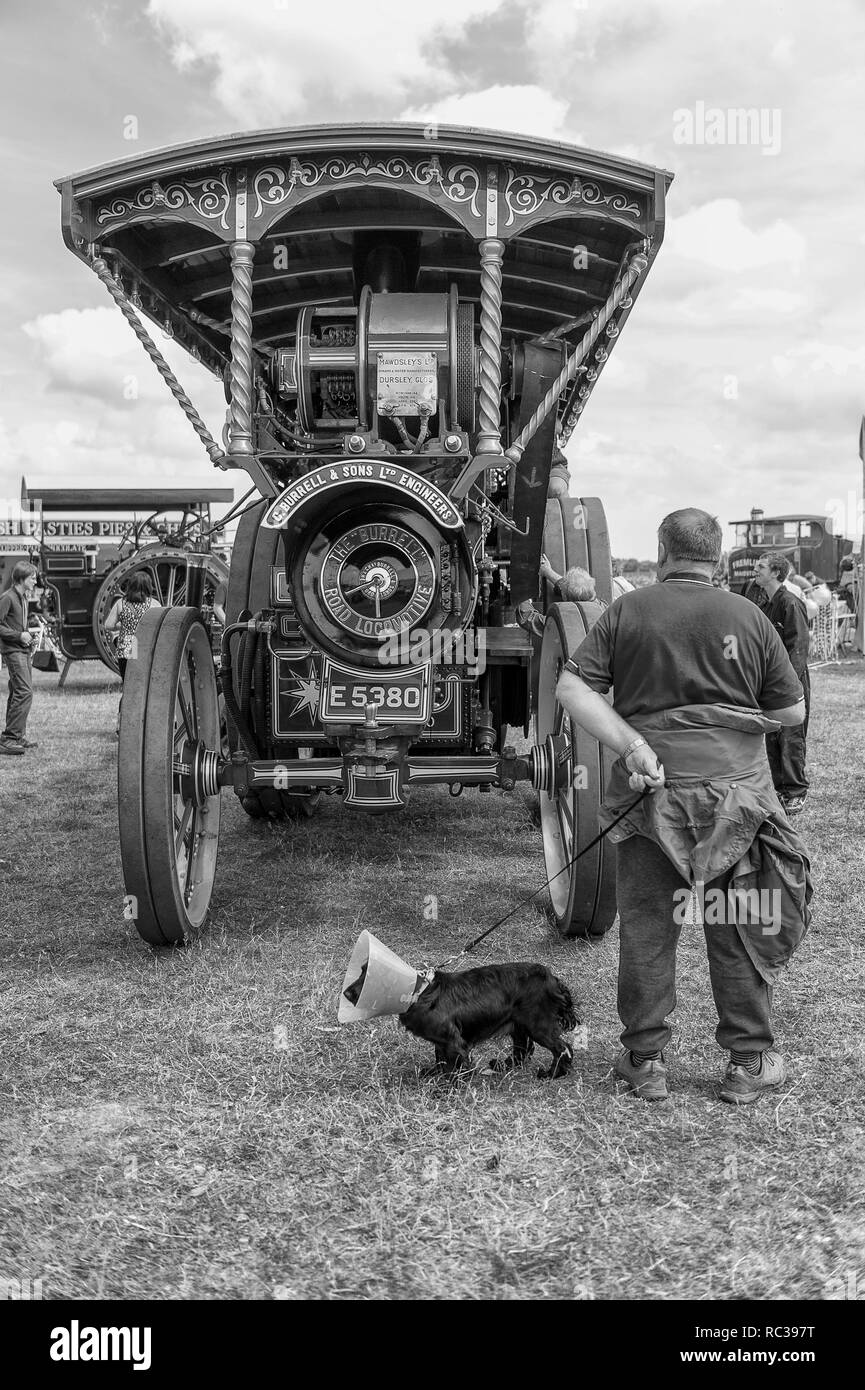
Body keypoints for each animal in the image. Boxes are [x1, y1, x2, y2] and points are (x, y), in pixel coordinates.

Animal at [400, 961, 578, 1078]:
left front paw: (443, 1091)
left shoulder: (453, 1042)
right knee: (523, 1048)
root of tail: (552, 979)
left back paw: (552, 1074)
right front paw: (432, 1074)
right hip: (518, 1023)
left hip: (538, 1026)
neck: (421, 991)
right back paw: (503, 1065)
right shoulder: (442, 1040)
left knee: (562, 1048)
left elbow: (451, 1069)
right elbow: (440, 1060)